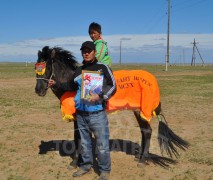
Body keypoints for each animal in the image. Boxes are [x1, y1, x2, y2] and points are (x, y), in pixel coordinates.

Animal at [35, 45, 190, 168]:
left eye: (47, 68)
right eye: (36, 68)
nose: (38, 90)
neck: (73, 85)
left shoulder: (77, 117)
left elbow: (78, 138)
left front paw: (74, 162)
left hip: (142, 110)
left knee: (147, 131)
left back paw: (142, 160)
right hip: (137, 111)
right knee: (144, 130)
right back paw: (139, 157)